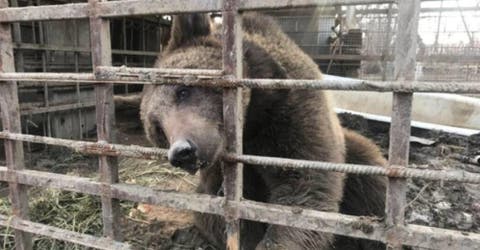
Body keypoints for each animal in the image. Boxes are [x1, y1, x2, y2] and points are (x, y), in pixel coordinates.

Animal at [140, 12, 386, 249]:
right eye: (158, 129)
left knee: (369, 174)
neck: (251, 121)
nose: (182, 151)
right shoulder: (222, 175)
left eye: (183, 91)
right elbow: (229, 215)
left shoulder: (290, 115)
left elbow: (306, 190)